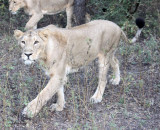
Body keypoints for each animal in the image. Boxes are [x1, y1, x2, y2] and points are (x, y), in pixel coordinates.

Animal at [13, 18, 144, 118]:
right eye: (23, 42)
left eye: (36, 42)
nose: (27, 54)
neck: (43, 55)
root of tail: (118, 26)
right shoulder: (58, 75)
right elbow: (59, 92)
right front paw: (60, 106)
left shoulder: (58, 75)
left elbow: (44, 93)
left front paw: (29, 111)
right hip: (110, 54)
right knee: (116, 62)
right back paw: (116, 80)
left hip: (105, 56)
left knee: (103, 79)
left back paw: (97, 97)